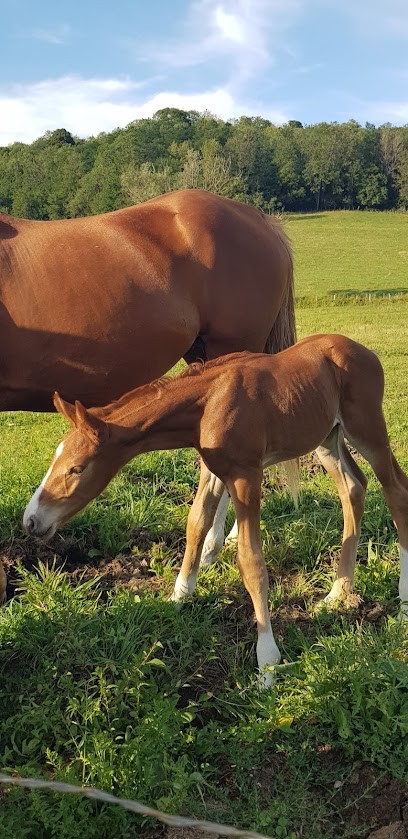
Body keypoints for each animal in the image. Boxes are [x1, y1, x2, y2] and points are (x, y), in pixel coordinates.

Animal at [23, 334, 408, 688]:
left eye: (76, 468)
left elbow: (251, 561)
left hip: (368, 429)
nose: (31, 520)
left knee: (396, 491)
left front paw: (267, 662)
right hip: (327, 438)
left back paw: (403, 604)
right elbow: (196, 523)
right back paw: (338, 593)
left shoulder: (246, 477)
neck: (210, 403)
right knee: (354, 488)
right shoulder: (212, 469)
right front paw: (178, 595)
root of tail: (364, 351)